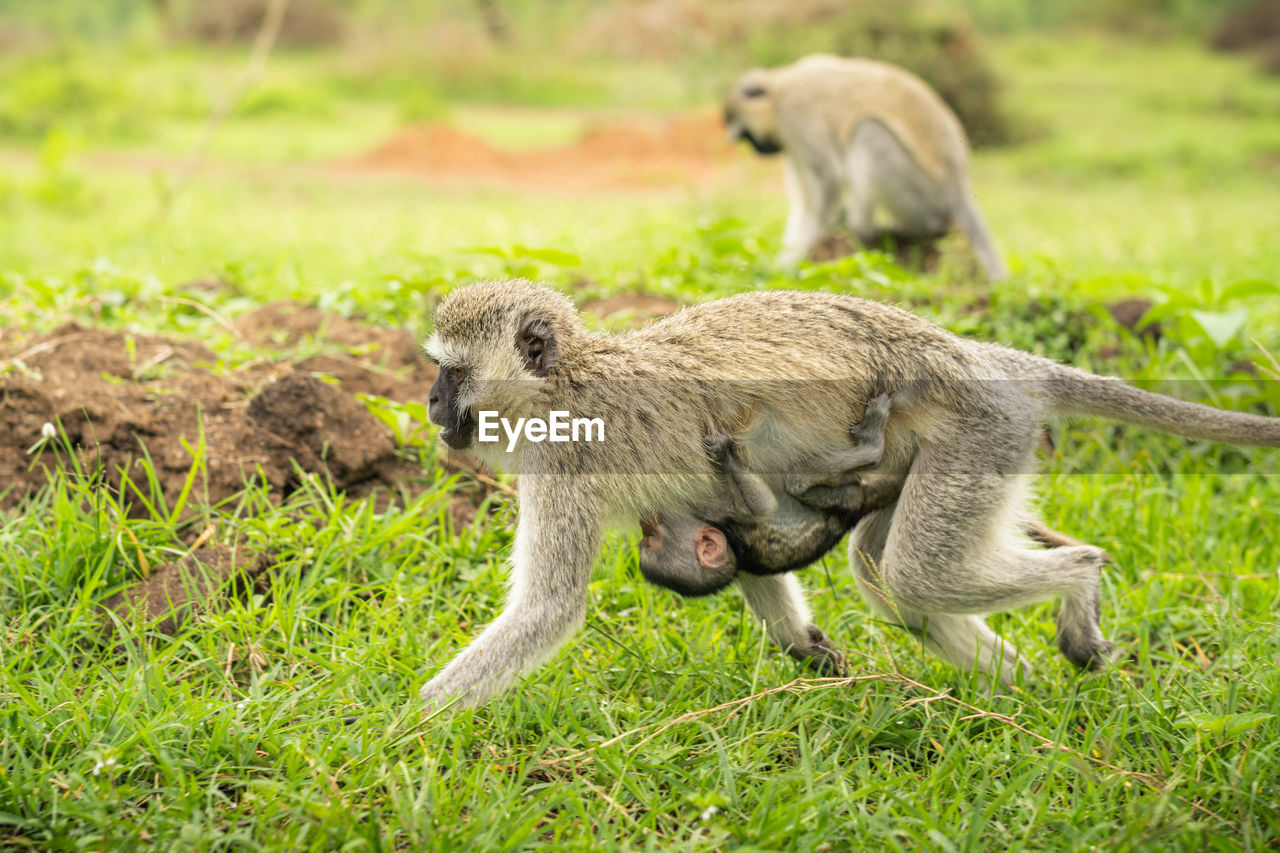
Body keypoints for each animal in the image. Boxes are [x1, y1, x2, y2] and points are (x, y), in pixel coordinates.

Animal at [424, 277, 1274, 701]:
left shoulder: (563, 462)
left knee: (916, 573)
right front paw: (807, 645)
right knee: (891, 578)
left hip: (978, 429)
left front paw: (410, 729)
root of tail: (975, 356)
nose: (430, 403)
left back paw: (1080, 580)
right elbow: (735, 533)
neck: (566, 381)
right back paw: (1026, 694)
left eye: (453, 373)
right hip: (970, 449)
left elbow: (547, 609)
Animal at [721, 54, 1008, 279]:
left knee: (868, 130)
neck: (779, 87)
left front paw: (789, 264)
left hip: (922, 195)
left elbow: (829, 182)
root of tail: (957, 182)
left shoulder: (796, 118)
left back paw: (861, 227)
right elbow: (806, 202)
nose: (758, 150)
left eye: (746, 135)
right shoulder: (791, 143)